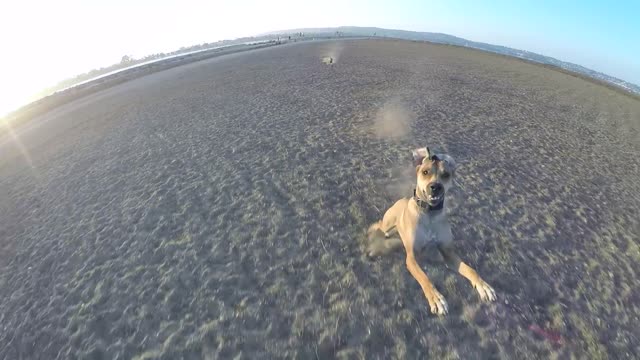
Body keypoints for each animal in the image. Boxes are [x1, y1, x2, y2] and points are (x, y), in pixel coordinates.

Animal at [368, 146, 498, 316]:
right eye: (425, 172)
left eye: (446, 175)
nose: (436, 187)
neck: (429, 213)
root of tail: (402, 199)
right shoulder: (412, 257)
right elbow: (424, 277)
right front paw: (436, 298)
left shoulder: (448, 253)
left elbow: (470, 270)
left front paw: (483, 285)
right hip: (387, 224)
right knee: (379, 226)